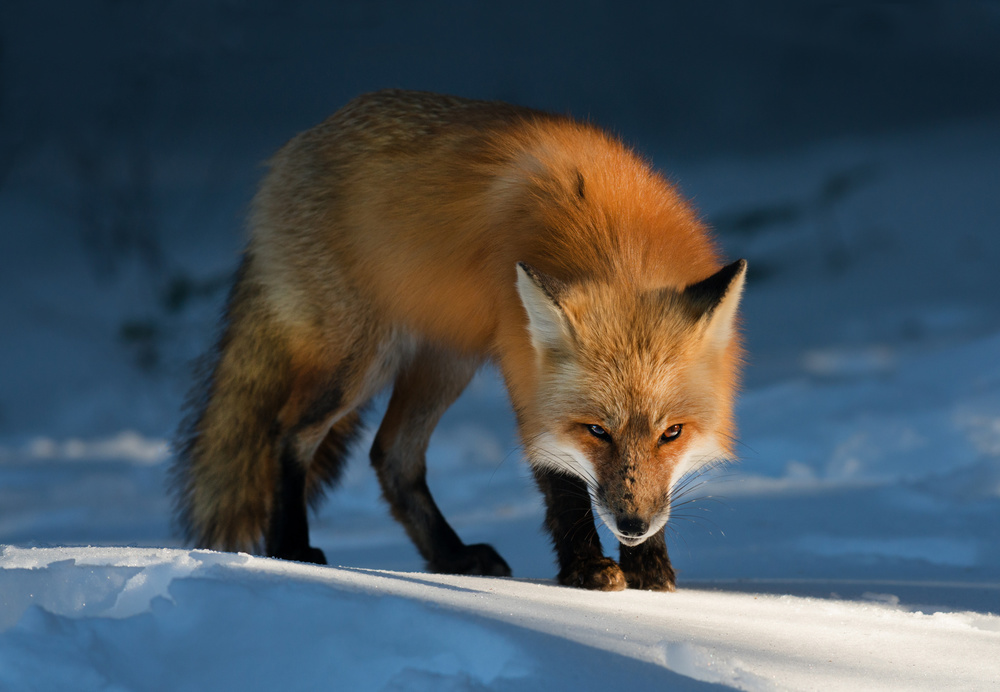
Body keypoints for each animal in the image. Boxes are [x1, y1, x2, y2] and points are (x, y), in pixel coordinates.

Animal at [172, 89, 746, 592]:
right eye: (595, 431)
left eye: (672, 433)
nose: (631, 525)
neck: (615, 244)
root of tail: (295, 147)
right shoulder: (525, 371)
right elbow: (560, 481)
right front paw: (585, 570)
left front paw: (646, 565)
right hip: (359, 363)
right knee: (288, 432)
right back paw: (290, 547)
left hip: (445, 364)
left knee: (392, 456)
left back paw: (450, 556)